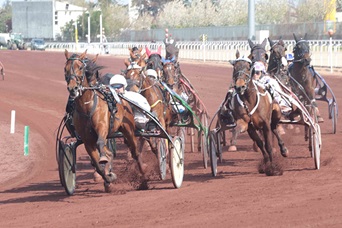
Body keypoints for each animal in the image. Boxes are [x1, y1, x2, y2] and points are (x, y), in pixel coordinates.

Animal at [64, 50, 146, 192]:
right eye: (65, 69)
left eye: (80, 67)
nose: (73, 88)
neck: (87, 107)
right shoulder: (87, 140)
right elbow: (97, 164)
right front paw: (108, 178)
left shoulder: (102, 128)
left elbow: (101, 144)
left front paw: (105, 164)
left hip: (128, 129)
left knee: (135, 152)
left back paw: (144, 177)